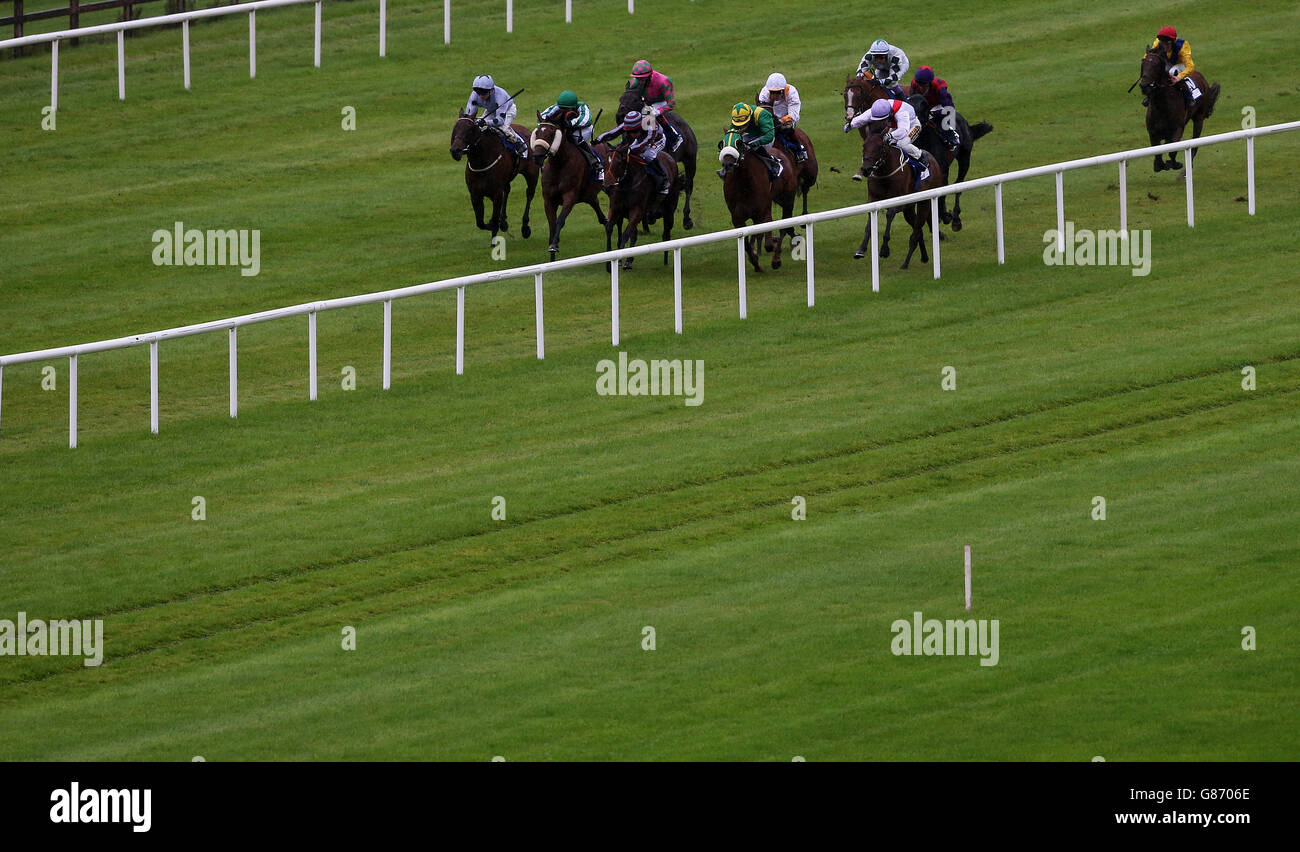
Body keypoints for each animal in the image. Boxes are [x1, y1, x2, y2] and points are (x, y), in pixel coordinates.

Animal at [452, 110, 538, 243]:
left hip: (532, 174)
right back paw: (503, 221)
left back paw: (525, 227)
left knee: (529, 194)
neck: (481, 162)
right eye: (455, 128)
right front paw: (496, 222)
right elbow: (480, 223)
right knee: (507, 191)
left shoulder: (496, 193)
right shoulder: (475, 194)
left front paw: (494, 236)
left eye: (469, 130)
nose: (455, 151)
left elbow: (494, 218)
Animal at [527, 115, 608, 260]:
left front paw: (554, 245)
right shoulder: (548, 199)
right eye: (537, 132)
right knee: (603, 219)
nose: (537, 156)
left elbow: (560, 220)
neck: (559, 165)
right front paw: (552, 251)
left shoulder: (570, 196)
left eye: (551, 134)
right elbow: (552, 225)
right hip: (590, 197)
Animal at [717, 130, 795, 271]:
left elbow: (768, 243)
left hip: (787, 200)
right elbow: (746, 243)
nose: (728, 165)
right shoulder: (737, 217)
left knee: (784, 227)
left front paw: (773, 247)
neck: (744, 184)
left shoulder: (763, 211)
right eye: (722, 143)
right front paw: (755, 263)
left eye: (738, 142)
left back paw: (776, 258)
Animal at [852, 119, 946, 270]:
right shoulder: (873, 199)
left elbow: (889, 215)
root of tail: (933, 160)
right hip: (909, 209)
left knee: (916, 231)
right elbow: (869, 224)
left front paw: (884, 249)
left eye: (879, 147)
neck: (884, 173)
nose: (866, 169)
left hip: (924, 202)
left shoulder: (899, 201)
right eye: (864, 146)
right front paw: (861, 250)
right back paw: (924, 257)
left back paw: (905, 263)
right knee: (918, 231)